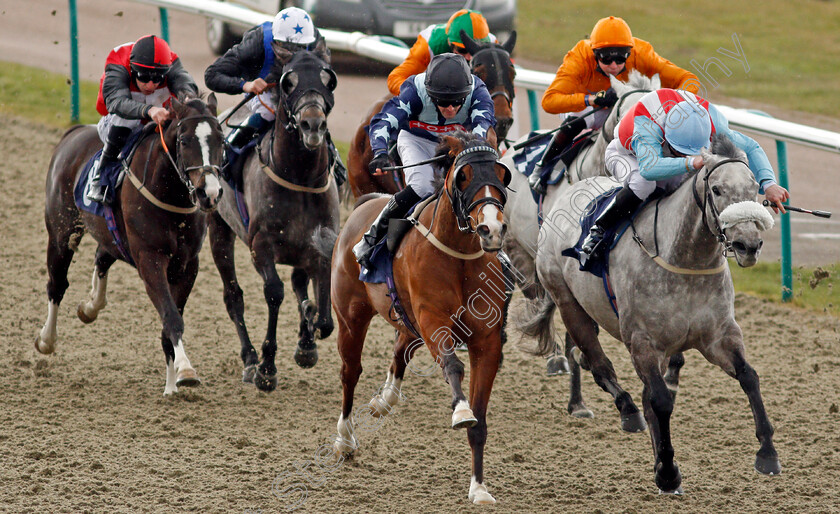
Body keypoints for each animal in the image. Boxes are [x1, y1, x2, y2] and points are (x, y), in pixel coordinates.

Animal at [37, 92, 225, 394]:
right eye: (184, 140)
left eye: (221, 138)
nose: (209, 193)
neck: (170, 195)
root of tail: (74, 133)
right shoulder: (150, 259)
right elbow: (171, 316)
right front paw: (185, 370)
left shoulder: (187, 265)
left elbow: (170, 320)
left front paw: (171, 385)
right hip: (61, 233)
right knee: (57, 284)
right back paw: (46, 340)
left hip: (111, 235)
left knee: (101, 256)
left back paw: (90, 307)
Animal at [208, 42, 340, 390]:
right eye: (287, 81)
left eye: (329, 79)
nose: (312, 124)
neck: (299, 179)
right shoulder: (261, 246)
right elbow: (274, 293)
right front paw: (267, 367)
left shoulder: (320, 245)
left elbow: (324, 319)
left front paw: (307, 339)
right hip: (218, 229)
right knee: (233, 297)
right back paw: (250, 359)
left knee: (298, 283)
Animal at [328, 130, 512, 502]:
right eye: (464, 176)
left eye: (502, 174)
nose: (491, 229)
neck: (459, 258)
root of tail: (366, 202)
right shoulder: (433, 322)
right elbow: (453, 367)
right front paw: (460, 411)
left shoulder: (486, 342)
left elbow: (481, 421)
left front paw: (479, 487)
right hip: (351, 319)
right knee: (350, 373)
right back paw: (345, 439)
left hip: (405, 320)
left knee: (399, 351)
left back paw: (384, 400)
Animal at [344, 30, 516, 198]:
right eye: (480, 72)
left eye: (512, 73)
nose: (503, 121)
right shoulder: (411, 96)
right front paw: (381, 160)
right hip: (364, 186)